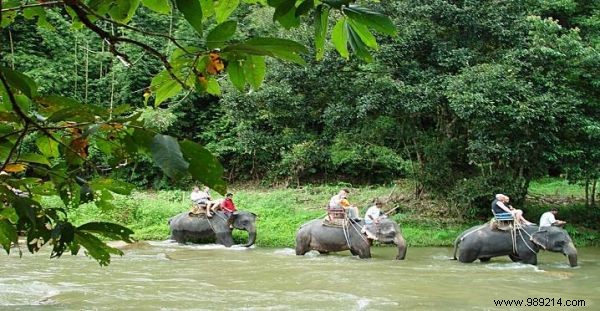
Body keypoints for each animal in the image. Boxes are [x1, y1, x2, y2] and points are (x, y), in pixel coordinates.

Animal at [452, 224, 580, 268]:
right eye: (562, 242)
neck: (539, 228)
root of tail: (460, 235)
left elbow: (515, 256)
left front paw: (518, 262)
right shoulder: (525, 244)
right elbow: (531, 261)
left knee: (485, 259)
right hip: (468, 248)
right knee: (465, 260)